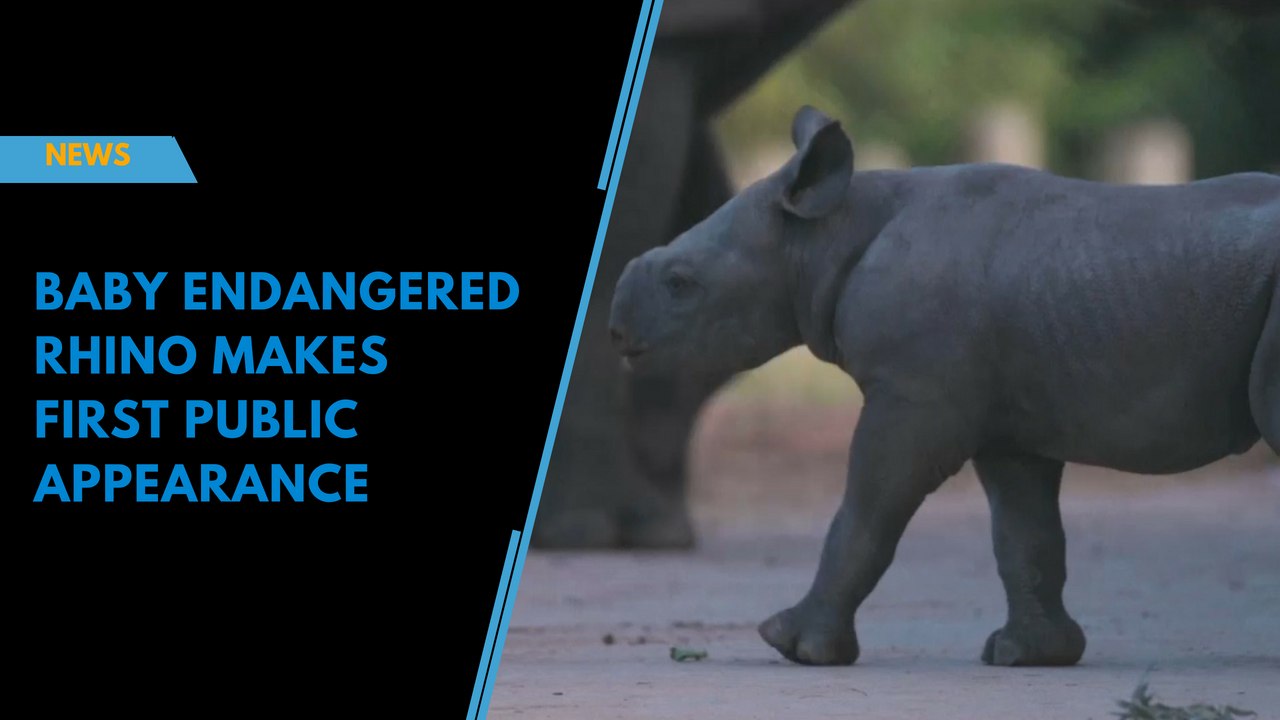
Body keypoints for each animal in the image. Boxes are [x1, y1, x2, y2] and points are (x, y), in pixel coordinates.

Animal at [608, 105, 1280, 666]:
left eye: (681, 283)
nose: (616, 331)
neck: (826, 234)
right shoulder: (1005, 424)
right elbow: (1024, 533)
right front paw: (1026, 657)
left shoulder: (914, 397)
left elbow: (867, 511)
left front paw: (793, 646)